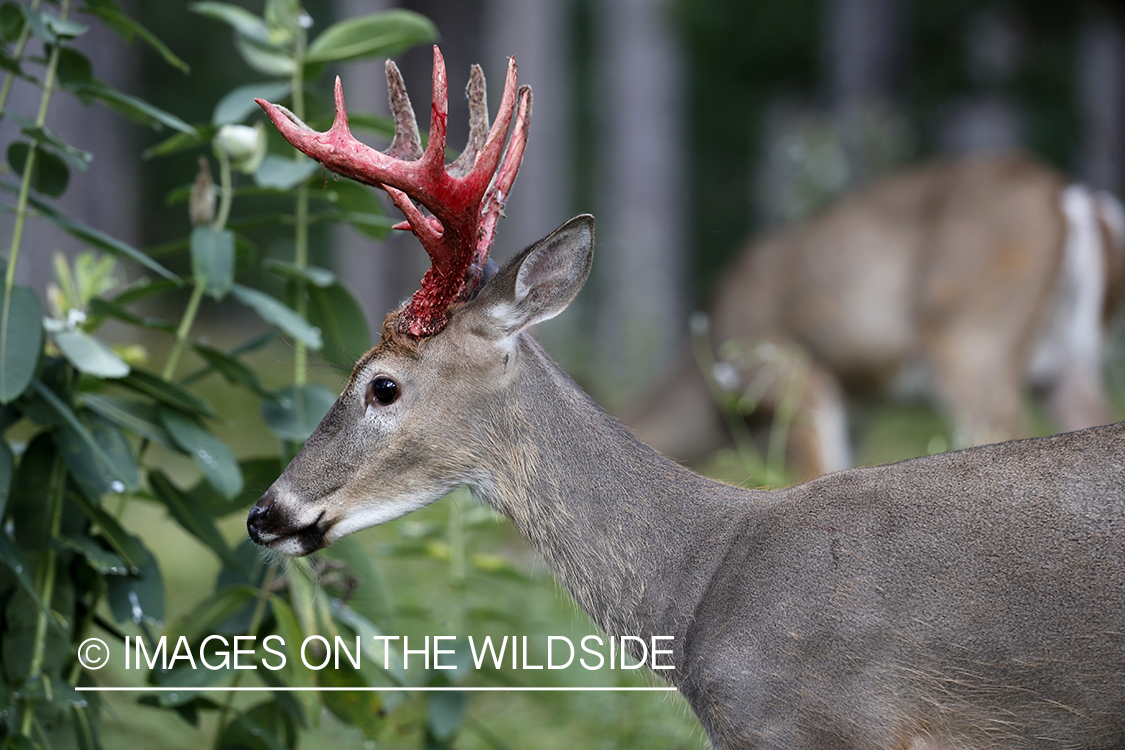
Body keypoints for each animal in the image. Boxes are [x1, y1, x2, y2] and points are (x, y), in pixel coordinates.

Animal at [625, 155, 1125, 479]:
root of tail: (1068, 196)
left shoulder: (790, 374)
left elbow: (813, 471)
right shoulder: (857, 409)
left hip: (971, 337)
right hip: (1064, 361)